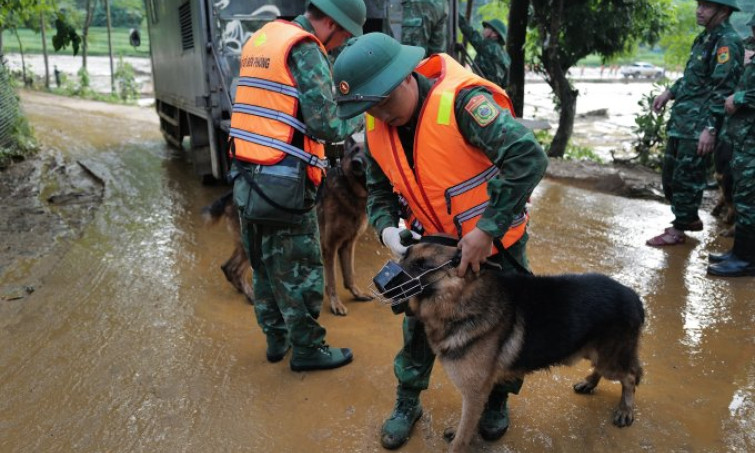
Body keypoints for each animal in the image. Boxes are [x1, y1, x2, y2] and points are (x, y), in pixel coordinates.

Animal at [204, 138, 372, 314]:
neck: (349, 190)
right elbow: (332, 280)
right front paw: (336, 304)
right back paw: (250, 294)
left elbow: (350, 274)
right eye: (354, 151)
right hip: (252, 244)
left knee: (227, 267)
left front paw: (357, 293)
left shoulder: (348, 244)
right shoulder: (330, 247)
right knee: (235, 269)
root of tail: (229, 194)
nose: (356, 163)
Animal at [386, 242, 648, 450]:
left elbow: (463, 435)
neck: (464, 302)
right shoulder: (480, 391)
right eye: (404, 256)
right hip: (595, 352)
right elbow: (468, 423)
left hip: (609, 359)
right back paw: (589, 382)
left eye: (423, 266)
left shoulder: (474, 392)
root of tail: (633, 295)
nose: (382, 284)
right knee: (610, 370)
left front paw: (461, 440)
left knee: (630, 376)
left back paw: (625, 410)